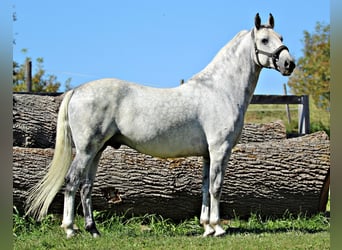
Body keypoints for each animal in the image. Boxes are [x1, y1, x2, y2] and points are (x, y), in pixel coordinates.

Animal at [26, 14, 294, 238]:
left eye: (282, 38)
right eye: (264, 39)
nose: (289, 64)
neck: (219, 90)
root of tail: (77, 90)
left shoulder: (208, 154)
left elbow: (205, 187)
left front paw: (206, 227)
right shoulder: (220, 150)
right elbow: (217, 187)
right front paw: (217, 228)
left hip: (96, 151)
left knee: (86, 186)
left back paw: (93, 230)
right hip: (85, 150)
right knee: (72, 182)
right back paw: (70, 229)